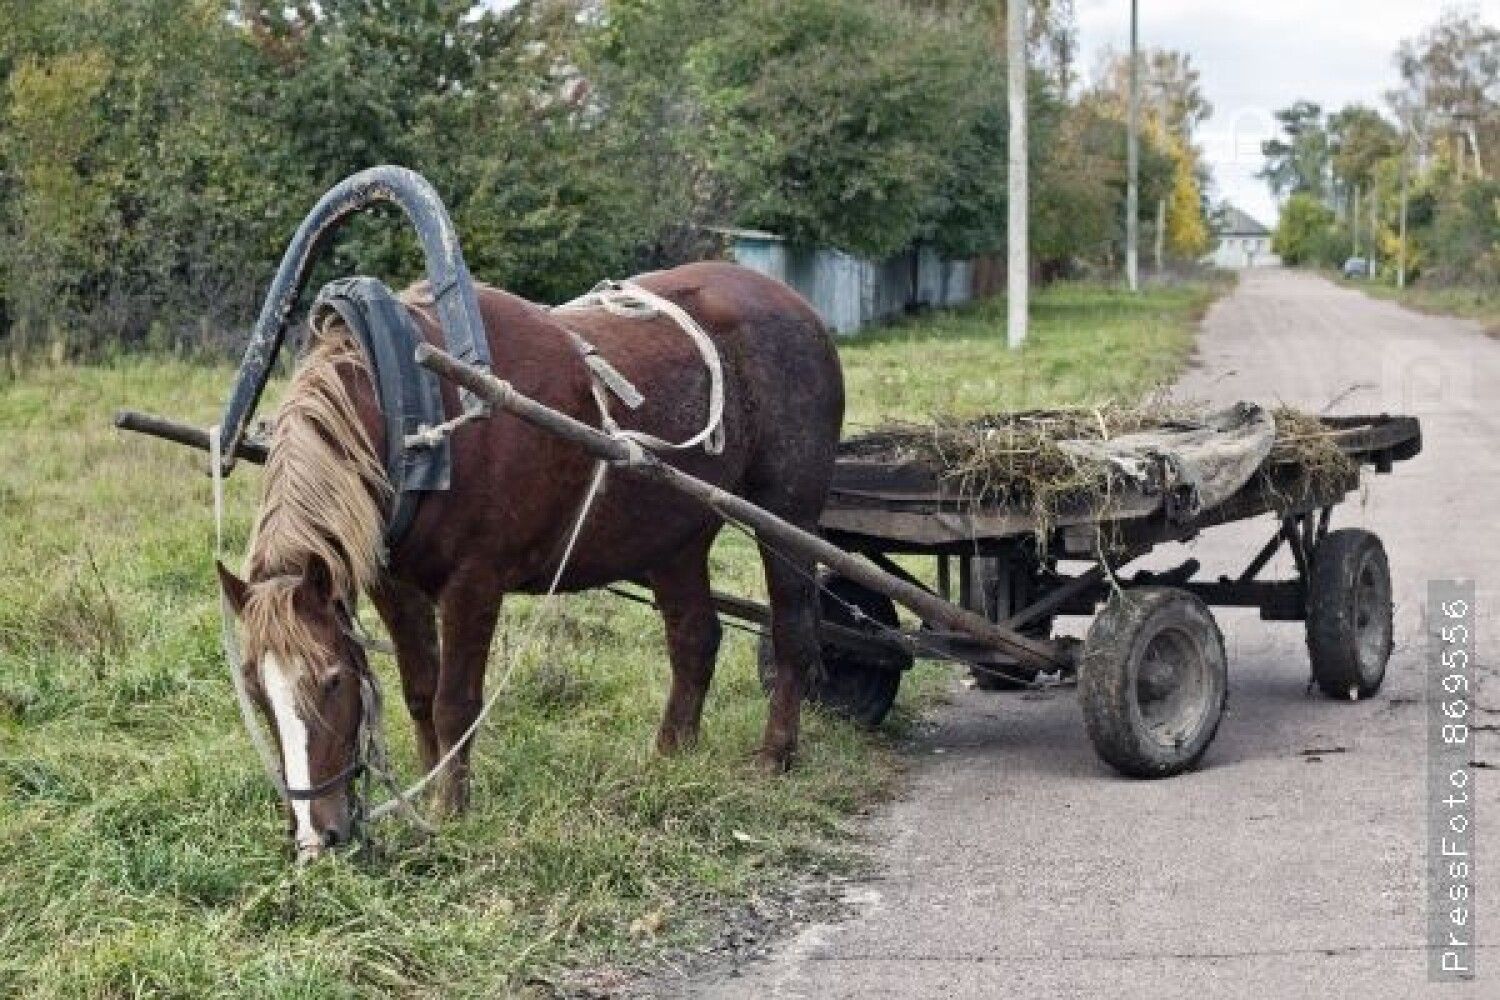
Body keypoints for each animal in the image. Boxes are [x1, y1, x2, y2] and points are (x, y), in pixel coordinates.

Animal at [213, 263, 846, 863]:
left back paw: (775, 754)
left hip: (786, 514)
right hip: (675, 536)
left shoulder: (475, 580)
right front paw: (427, 791)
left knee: (793, 629)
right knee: (695, 637)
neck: (414, 412)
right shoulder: (393, 583)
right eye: (256, 691)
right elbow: (420, 692)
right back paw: (672, 754)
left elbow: (454, 702)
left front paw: (449, 811)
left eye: (333, 680)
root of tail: (798, 306)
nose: (315, 840)